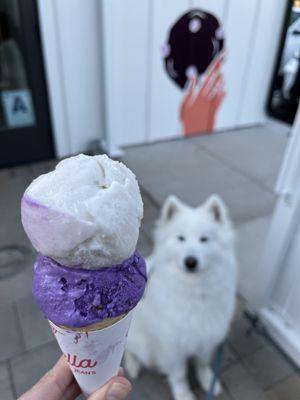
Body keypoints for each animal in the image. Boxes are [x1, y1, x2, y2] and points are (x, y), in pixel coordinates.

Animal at [124, 194, 237, 400]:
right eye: (181, 238)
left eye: (204, 239)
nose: (190, 261)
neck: (195, 292)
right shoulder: (172, 346)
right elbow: (179, 374)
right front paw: (184, 394)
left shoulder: (206, 337)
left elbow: (202, 364)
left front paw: (208, 381)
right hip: (141, 342)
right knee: (128, 349)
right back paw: (133, 365)